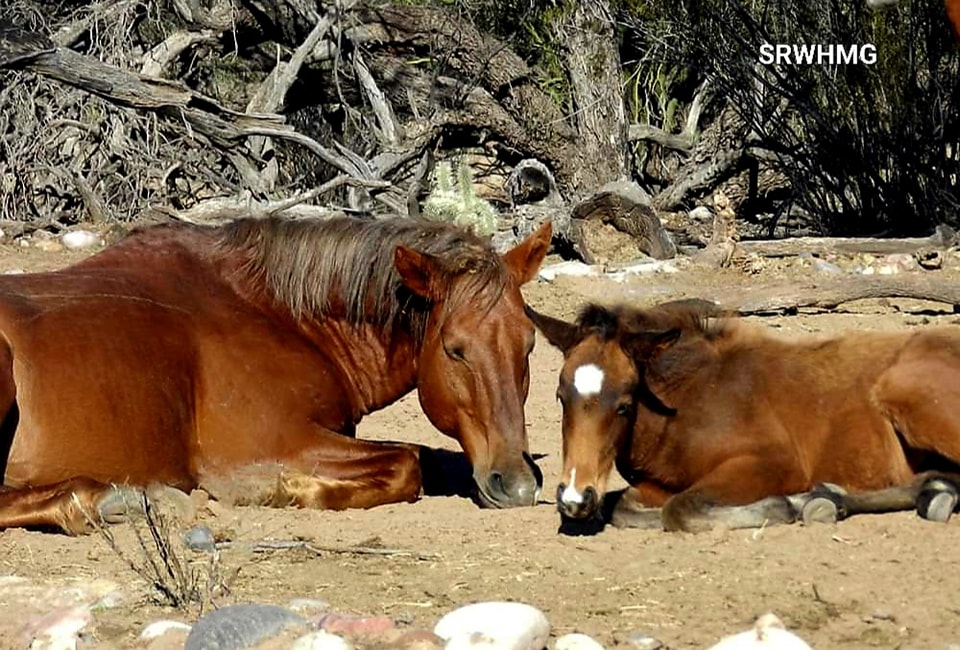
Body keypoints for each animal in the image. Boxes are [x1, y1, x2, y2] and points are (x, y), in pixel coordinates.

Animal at [0, 218, 556, 532]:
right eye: (455, 350)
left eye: (529, 344)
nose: (517, 484)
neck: (276, 313)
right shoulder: (271, 442)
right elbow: (407, 463)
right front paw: (292, 490)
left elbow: (420, 457)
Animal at [528, 298, 960, 532]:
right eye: (560, 397)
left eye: (624, 404)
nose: (574, 499)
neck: (687, 402)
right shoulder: (658, 482)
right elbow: (626, 507)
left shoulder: (774, 462)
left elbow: (680, 508)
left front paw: (786, 505)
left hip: (908, 395)